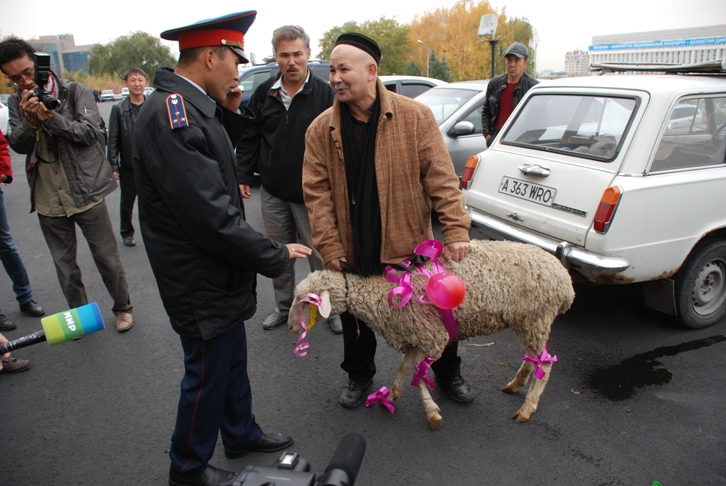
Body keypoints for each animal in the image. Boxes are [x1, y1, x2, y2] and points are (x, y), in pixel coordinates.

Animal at [288, 240, 576, 430]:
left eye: (307, 301)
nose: (291, 328)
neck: (384, 292)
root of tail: (566, 282)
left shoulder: (432, 336)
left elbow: (420, 377)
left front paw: (432, 413)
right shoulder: (414, 334)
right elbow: (405, 369)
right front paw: (389, 396)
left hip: (536, 316)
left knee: (545, 364)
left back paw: (526, 408)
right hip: (529, 320)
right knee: (533, 356)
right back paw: (516, 384)